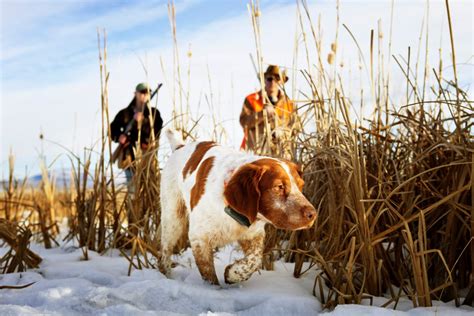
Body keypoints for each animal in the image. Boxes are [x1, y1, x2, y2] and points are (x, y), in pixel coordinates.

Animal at [160, 130, 318, 286]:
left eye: (301, 185)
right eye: (279, 187)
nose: (313, 214)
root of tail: (179, 147)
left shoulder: (253, 234)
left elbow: (254, 259)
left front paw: (232, 274)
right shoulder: (199, 238)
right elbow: (209, 276)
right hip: (173, 219)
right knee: (165, 251)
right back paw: (165, 276)